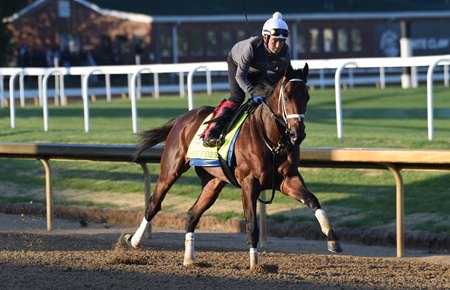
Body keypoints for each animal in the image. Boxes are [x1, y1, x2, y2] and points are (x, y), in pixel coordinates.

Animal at [125, 63, 342, 270]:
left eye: (307, 96)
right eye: (287, 96)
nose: (298, 135)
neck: (271, 138)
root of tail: (182, 119)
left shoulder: (288, 180)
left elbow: (313, 201)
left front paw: (333, 239)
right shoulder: (249, 183)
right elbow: (252, 225)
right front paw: (255, 265)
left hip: (213, 182)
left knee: (192, 214)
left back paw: (189, 259)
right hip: (171, 169)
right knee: (154, 204)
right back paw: (135, 240)